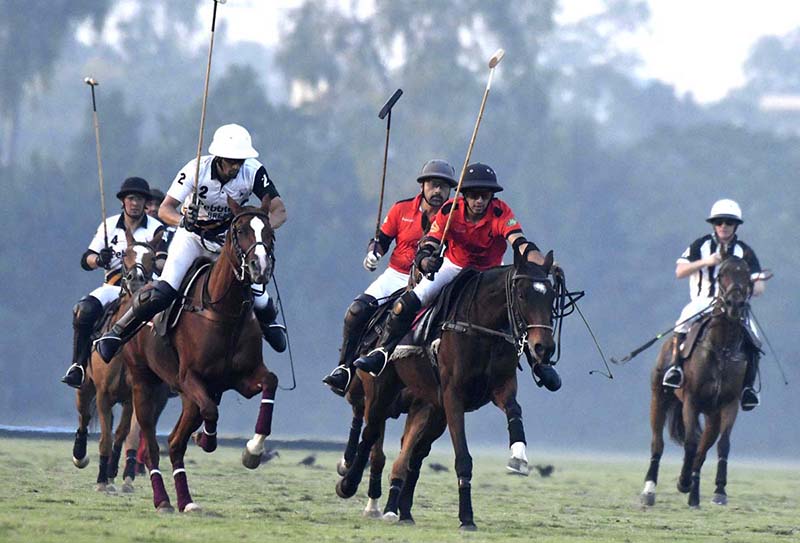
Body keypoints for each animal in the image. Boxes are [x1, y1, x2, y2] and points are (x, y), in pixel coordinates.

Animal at [119, 201, 278, 516]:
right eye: (240, 230)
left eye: (269, 232)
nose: (260, 267)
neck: (226, 312)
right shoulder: (190, 377)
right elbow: (211, 411)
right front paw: (207, 439)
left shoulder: (243, 377)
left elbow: (271, 382)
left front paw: (252, 451)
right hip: (145, 384)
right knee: (153, 446)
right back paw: (163, 501)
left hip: (185, 395)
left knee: (175, 442)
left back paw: (186, 501)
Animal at [336, 252, 556, 532]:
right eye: (521, 294)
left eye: (552, 296)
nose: (543, 348)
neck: (483, 326)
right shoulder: (453, 396)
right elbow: (461, 457)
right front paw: (467, 517)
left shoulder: (499, 387)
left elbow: (514, 409)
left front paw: (518, 455)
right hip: (379, 389)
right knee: (369, 433)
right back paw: (348, 483)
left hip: (431, 411)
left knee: (410, 453)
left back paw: (401, 510)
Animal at [640, 255, 752, 510]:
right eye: (722, 274)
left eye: (747, 274)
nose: (734, 304)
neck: (722, 347)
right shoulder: (690, 400)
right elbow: (690, 443)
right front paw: (682, 481)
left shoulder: (729, 403)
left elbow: (722, 445)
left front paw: (719, 491)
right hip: (659, 397)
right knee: (657, 443)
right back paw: (649, 490)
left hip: (712, 415)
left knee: (703, 450)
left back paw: (694, 496)